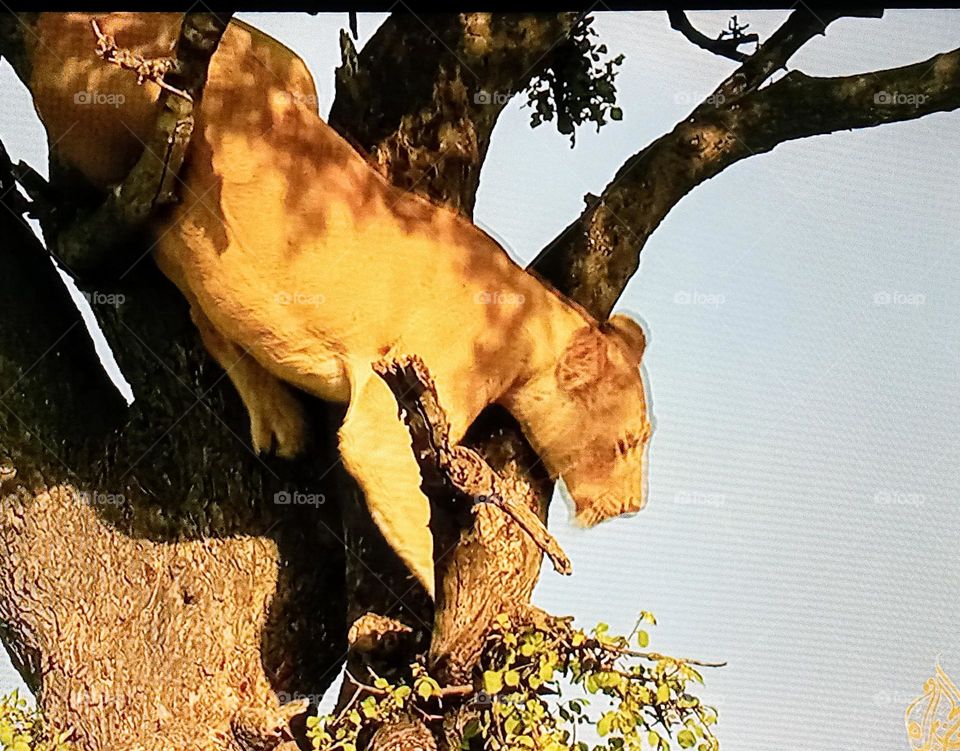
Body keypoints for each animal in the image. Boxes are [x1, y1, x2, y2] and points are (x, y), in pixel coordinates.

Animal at [18, 13, 653, 595]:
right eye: (630, 441)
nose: (632, 507)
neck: (530, 324)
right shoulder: (397, 398)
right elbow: (407, 509)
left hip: (285, 69)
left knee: (205, 313)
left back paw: (279, 420)